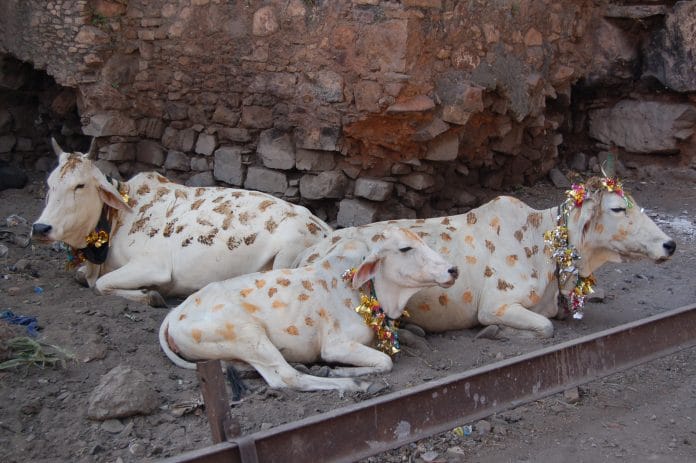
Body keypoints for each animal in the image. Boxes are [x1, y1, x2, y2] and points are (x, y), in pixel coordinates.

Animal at [31, 138, 332, 306]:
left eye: (80, 185)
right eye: (50, 183)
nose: (40, 228)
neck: (117, 221)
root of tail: (323, 226)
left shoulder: (153, 266)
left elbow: (102, 285)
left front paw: (151, 295)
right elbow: (84, 277)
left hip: (288, 254)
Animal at [158, 226, 459, 392]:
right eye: (405, 248)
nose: (452, 269)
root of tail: (174, 314)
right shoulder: (335, 345)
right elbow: (385, 362)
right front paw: (338, 372)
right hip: (248, 334)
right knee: (287, 378)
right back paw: (351, 385)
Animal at [295, 177, 676, 338]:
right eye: (616, 208)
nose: (669, 245)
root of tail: (308, 252)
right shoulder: (497, 304)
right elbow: (545, 327)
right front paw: (495, 332)